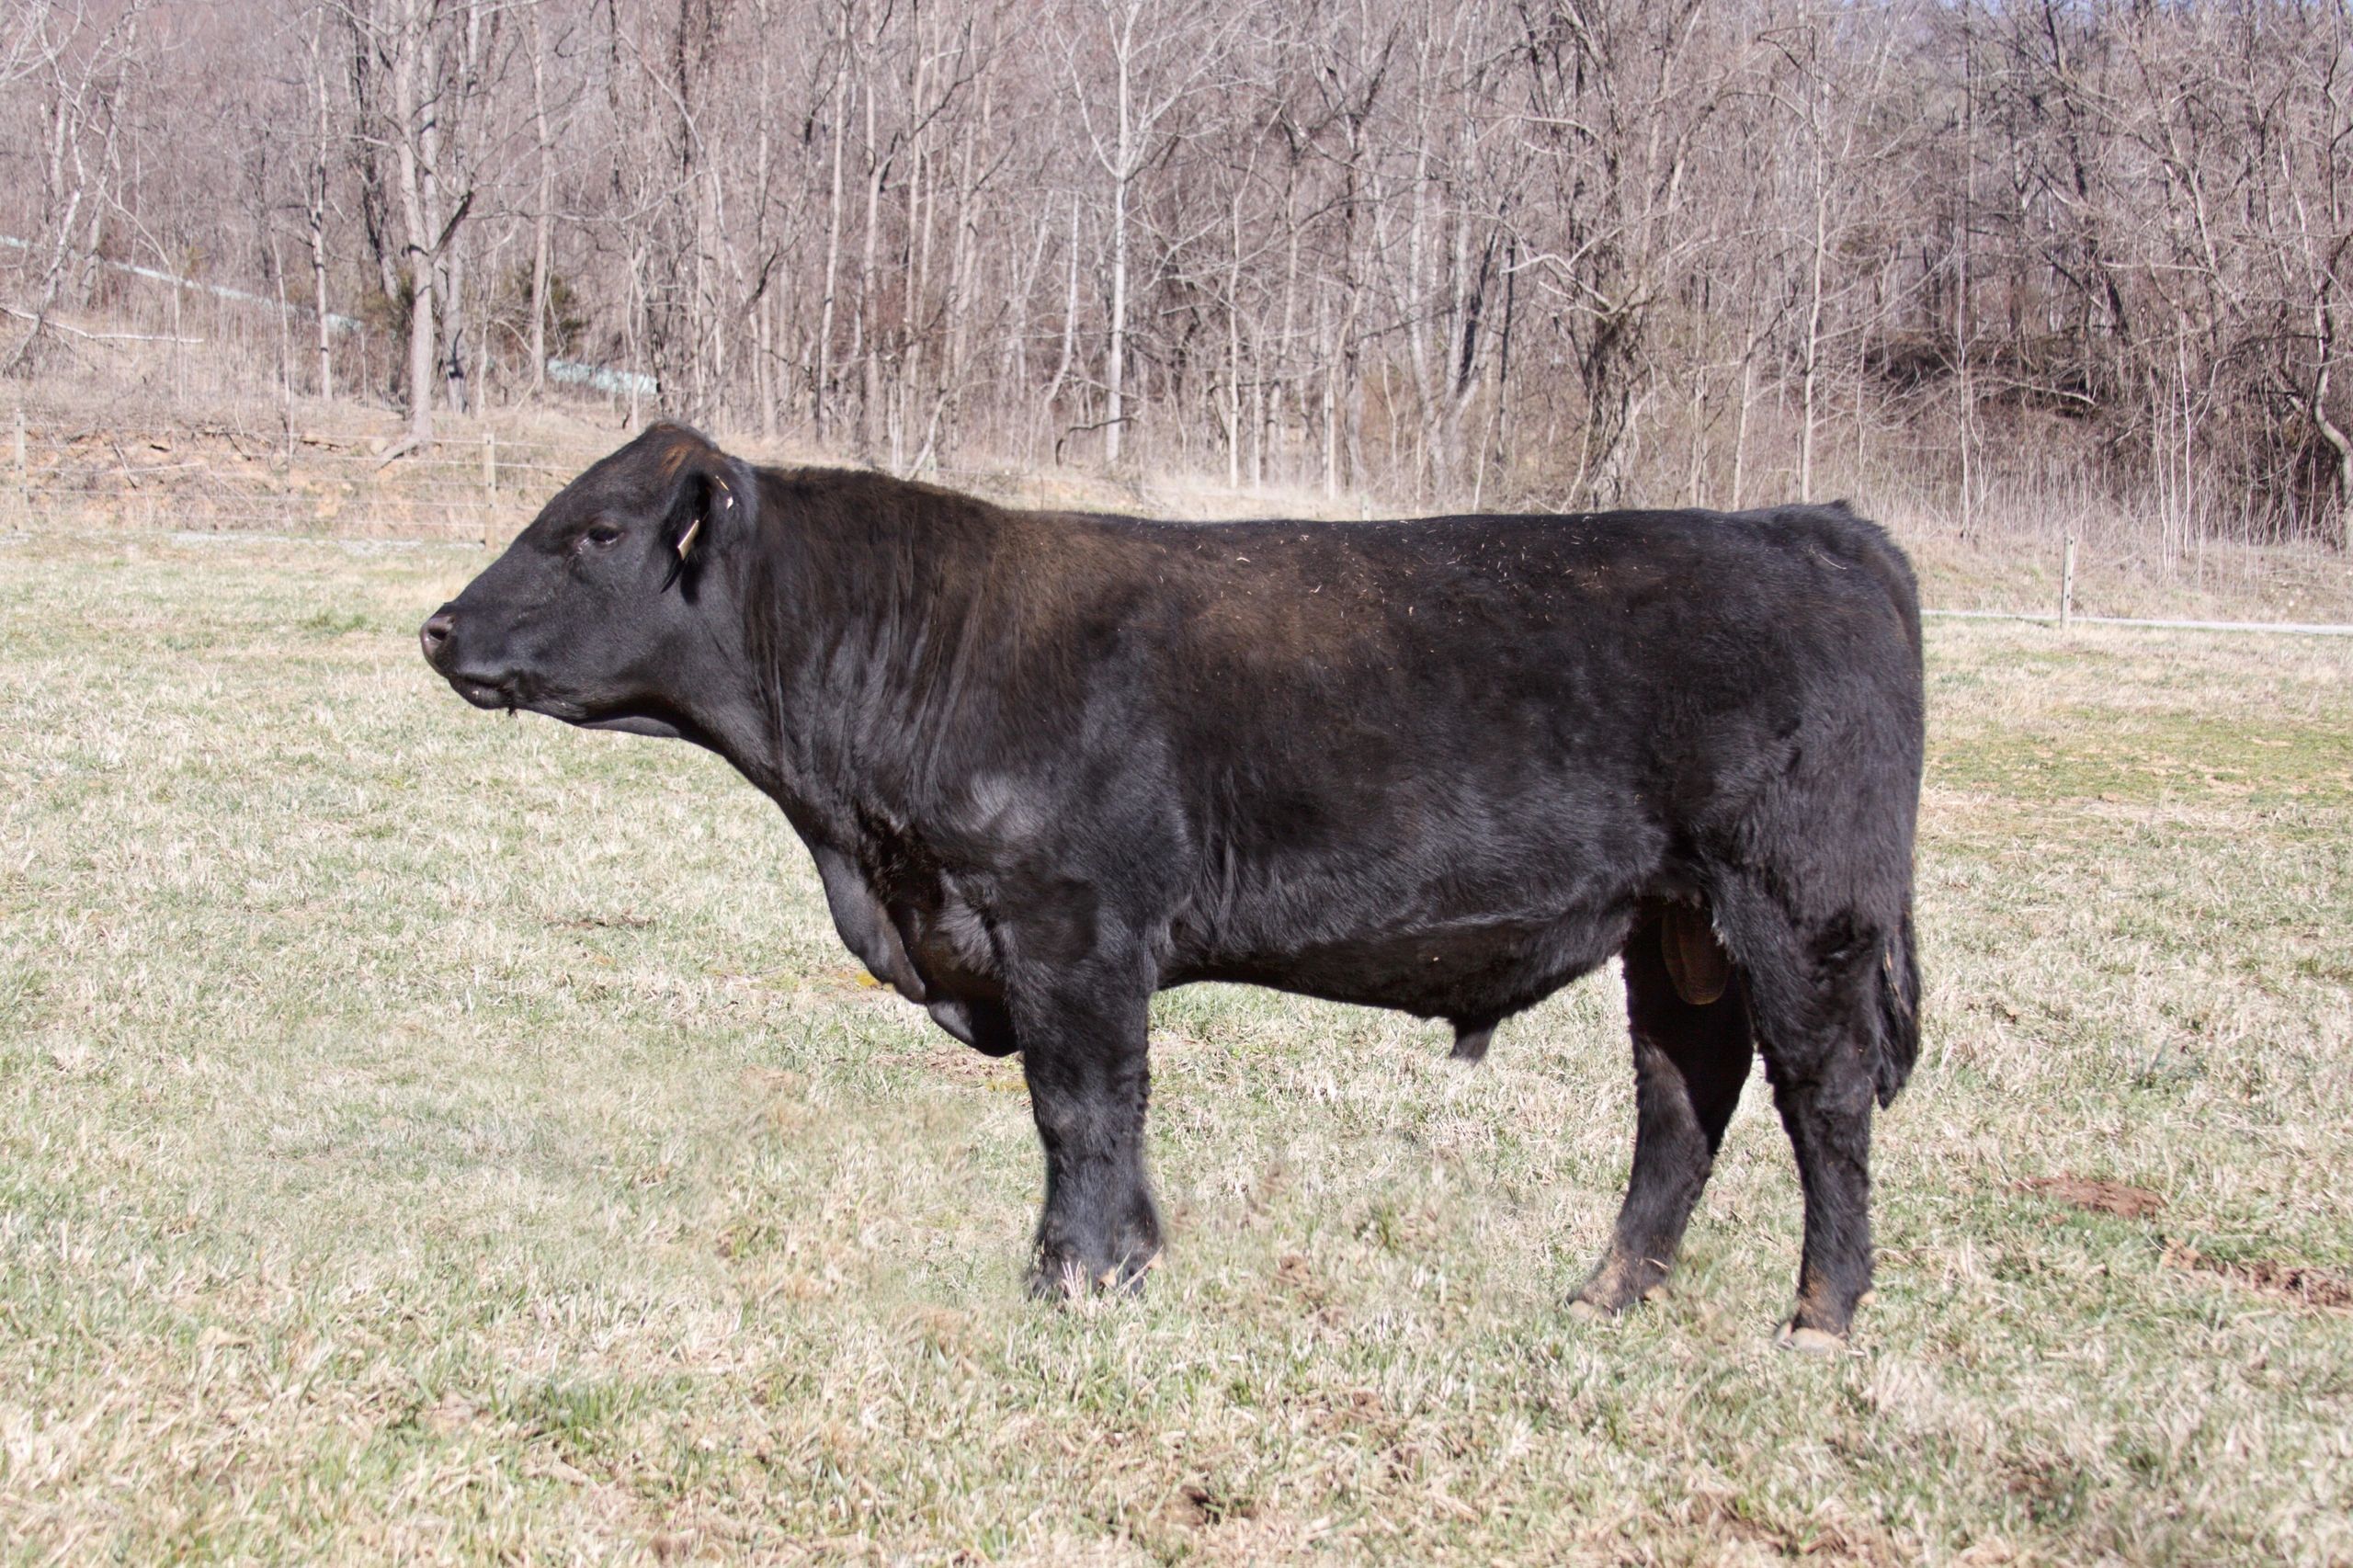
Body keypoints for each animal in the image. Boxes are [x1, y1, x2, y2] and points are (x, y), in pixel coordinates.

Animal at [420, 423, 1924, 1351]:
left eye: (595, 531)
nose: (437, 627)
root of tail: (1821, 525)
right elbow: (1103, 1115)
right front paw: (1125, 1264)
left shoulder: (1070, 924)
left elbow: (1081, 1106)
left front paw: (1074, 1279)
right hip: (1674, 927)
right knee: (1684, 1099)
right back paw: (1604, 1296)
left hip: (1801, 909)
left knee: (1823, 1097)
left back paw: (1821, 1316)